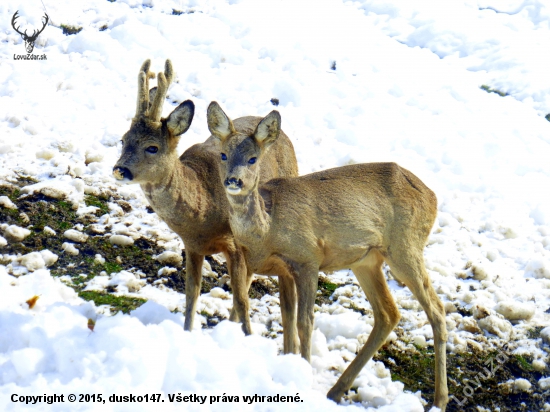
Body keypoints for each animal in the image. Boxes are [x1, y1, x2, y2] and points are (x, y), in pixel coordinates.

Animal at [113, 58, 300, 342]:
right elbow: (192, 293)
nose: (119, 169)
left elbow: (241, 299)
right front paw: (188, 331)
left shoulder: (234, 244)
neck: (202, 214)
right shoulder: (192, 246)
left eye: (152, 147)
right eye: (123, 140)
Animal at [209, 102, 450, 408]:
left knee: (437, 310)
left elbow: (304, 322)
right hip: (367, 260)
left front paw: (301, 374)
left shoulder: (308, 258)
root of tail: (433, 197)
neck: (267, 231)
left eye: (253, 158)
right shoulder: (266, 265)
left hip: (405, 247)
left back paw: (439, 400)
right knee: (388, 313)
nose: (233, 180)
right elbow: (260, 310)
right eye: (223, 154)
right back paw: (336, 390)